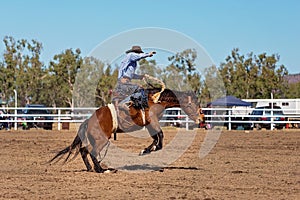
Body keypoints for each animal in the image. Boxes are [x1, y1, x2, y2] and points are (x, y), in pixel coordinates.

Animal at [49, 88, 203, 173]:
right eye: (194, 104)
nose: (202, 119)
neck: (155, 100)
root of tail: (89, 120)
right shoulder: (152, 121)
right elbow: (160, 137)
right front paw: (150, 151)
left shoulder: (149, 125)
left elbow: (156, 139)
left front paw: (146, 150)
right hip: (102, 140)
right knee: (92, 153)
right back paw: (103, 170)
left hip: (96, 140)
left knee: (83, 151)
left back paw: (91, 168)